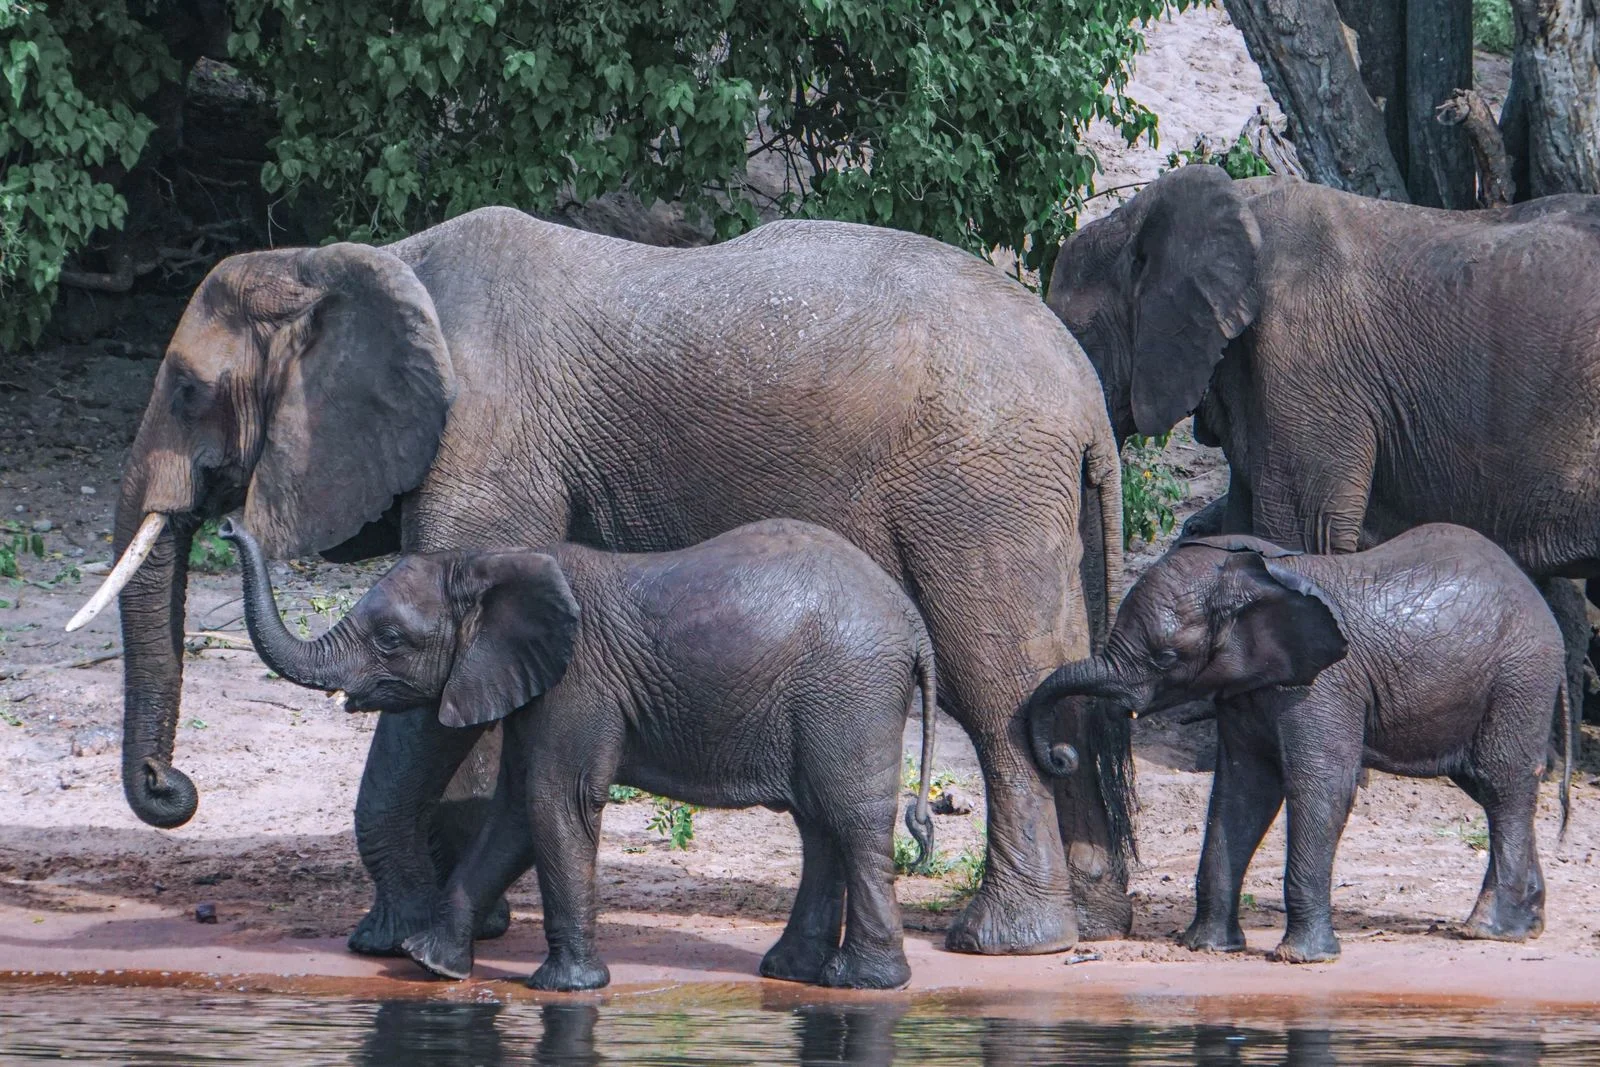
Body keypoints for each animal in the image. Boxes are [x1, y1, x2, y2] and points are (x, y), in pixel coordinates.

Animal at [224, 516, 939, 991]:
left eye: (391, 639)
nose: (229, 525)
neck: (490, 562)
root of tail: (911, 621)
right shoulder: (532, 684)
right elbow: (515, 814)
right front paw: (431, 963)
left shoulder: (576, 682)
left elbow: (554, 804)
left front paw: (566, 988)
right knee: (818, 824)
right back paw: (792, 972)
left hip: (849, 690)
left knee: (849, 819)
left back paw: (864, 983)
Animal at [1029, 524, 1571, 963]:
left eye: (1165, 658)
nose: (1060, 755)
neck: (1258, 575)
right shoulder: (1247, 689)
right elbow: (1243, 794)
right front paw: (1209, 948)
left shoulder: (1324, 684)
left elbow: (1321, 787)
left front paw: (1303, 959)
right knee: (1489, 786)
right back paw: (1529, 924)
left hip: (1520, 677)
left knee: (1502, 786)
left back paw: (1489, 931)